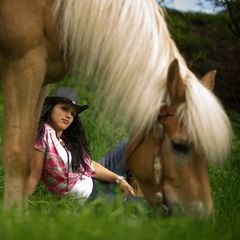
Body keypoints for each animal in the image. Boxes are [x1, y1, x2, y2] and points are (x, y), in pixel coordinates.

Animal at [0, 0, 232, 214]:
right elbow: (19, 153)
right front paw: (15, 217)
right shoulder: (25, 65)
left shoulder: (43, 80)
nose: (201, 215)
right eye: (179, 145)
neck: (55, 10)